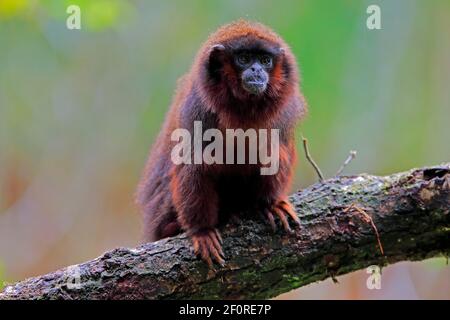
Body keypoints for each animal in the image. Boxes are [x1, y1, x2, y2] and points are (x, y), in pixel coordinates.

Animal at [136, 20, 306, 268]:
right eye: (244, 58)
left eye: (265, 61)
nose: (257, 70)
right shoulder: (198, 111)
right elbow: (194, 165)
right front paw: (202, 231)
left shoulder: (285, 115)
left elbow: (276, 154)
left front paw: (270, 203)